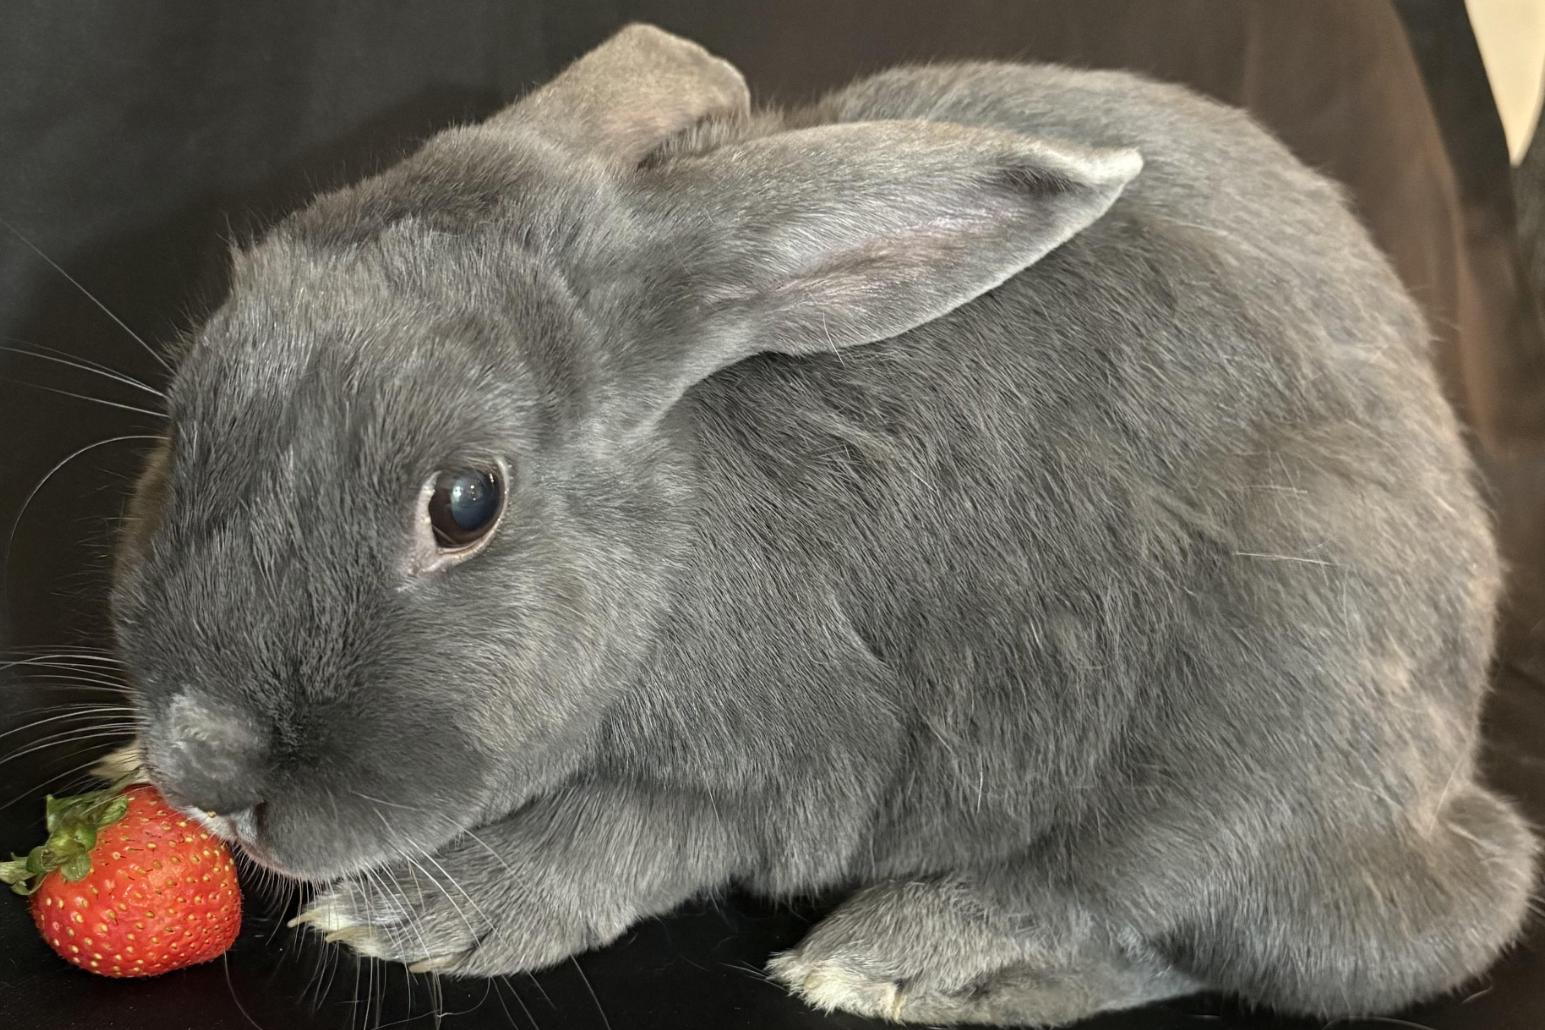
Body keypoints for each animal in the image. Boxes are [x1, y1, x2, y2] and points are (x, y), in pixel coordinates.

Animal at [104, 22, 1537, 1026]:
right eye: (185, 411)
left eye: (465, 503)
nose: (208, 763)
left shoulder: (797, 754)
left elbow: (628, 829)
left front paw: (423, 914)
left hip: (1258, 722)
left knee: (1256, 924)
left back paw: (906, 959)